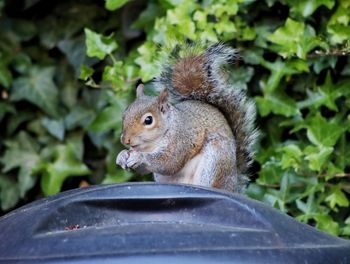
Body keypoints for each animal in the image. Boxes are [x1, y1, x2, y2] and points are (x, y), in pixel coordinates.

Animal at [115, 42, 258, 192]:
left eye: (148, 120)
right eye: (124, 114)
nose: (125, 140)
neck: (151, 144)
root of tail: (233, 185)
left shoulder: (181, 139)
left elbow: (169, 162)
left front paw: (140, 157)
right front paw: (122, 156)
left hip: (215, 161)